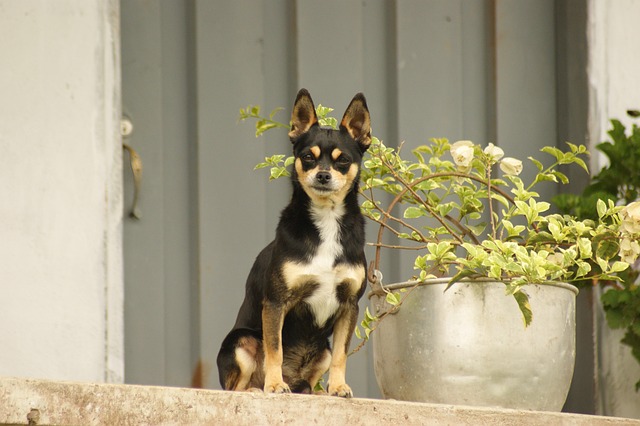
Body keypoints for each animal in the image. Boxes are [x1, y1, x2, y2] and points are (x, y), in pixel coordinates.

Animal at [218, 88, 372, 398]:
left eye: (342, 160)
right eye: (307, 157)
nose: (323, 175)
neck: (326, 221)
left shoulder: (349, 307)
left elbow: (341, 355)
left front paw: (339, 387)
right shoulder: (276, 304)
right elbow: (274, 348)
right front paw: (275, 385)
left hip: (321, 352)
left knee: (310, 382)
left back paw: (316, 391)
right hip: (241, 342)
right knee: (234, 387)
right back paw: (258, 389)